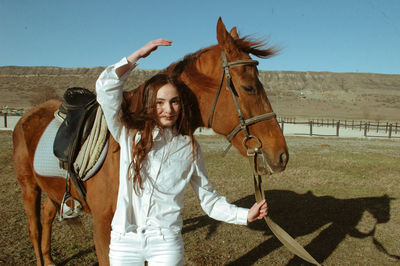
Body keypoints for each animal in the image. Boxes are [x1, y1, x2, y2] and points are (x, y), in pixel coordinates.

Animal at [11, 17, 288, 264]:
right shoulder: (103, 227)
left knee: (47, 217)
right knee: (35, 229)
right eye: (249, 87)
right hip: (29, 187)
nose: (282, 154)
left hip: (52, 190)